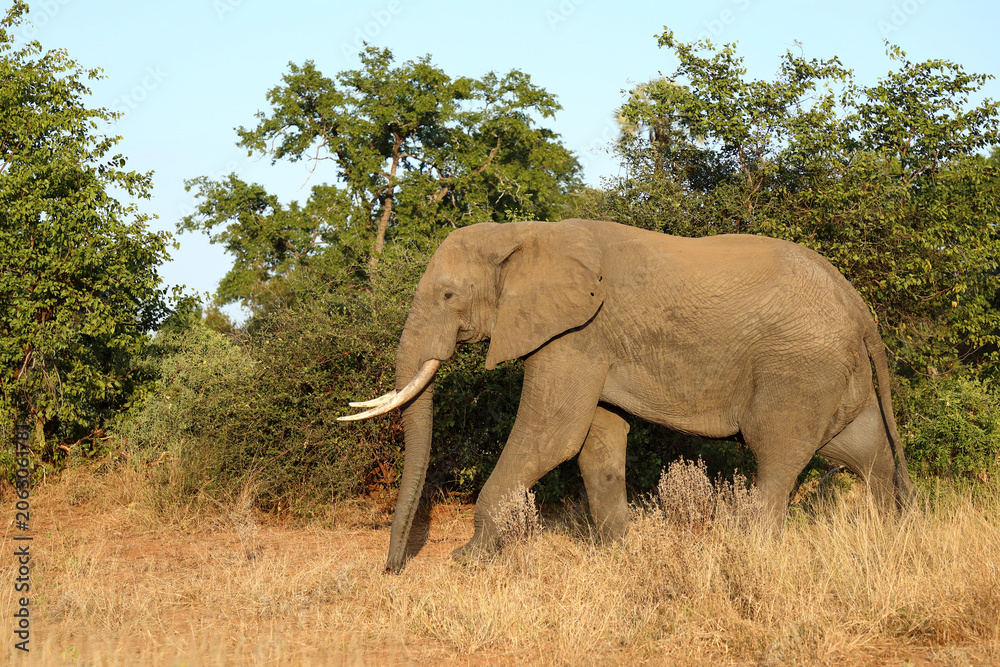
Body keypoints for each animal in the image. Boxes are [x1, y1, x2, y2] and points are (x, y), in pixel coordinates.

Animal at [340, 218, 914, 573]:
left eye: (448, 295)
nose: (393, 569)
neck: (526, 233)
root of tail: (860, 307)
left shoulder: (576, 333)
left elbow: (552, 437)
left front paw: (469, 559)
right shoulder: (593, 341)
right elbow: (597, 440)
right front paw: (615, 553)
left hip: (797, 368)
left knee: (777, 454)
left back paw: (750, 549)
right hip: (835, 374)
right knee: (864, 454)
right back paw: (888, 539)